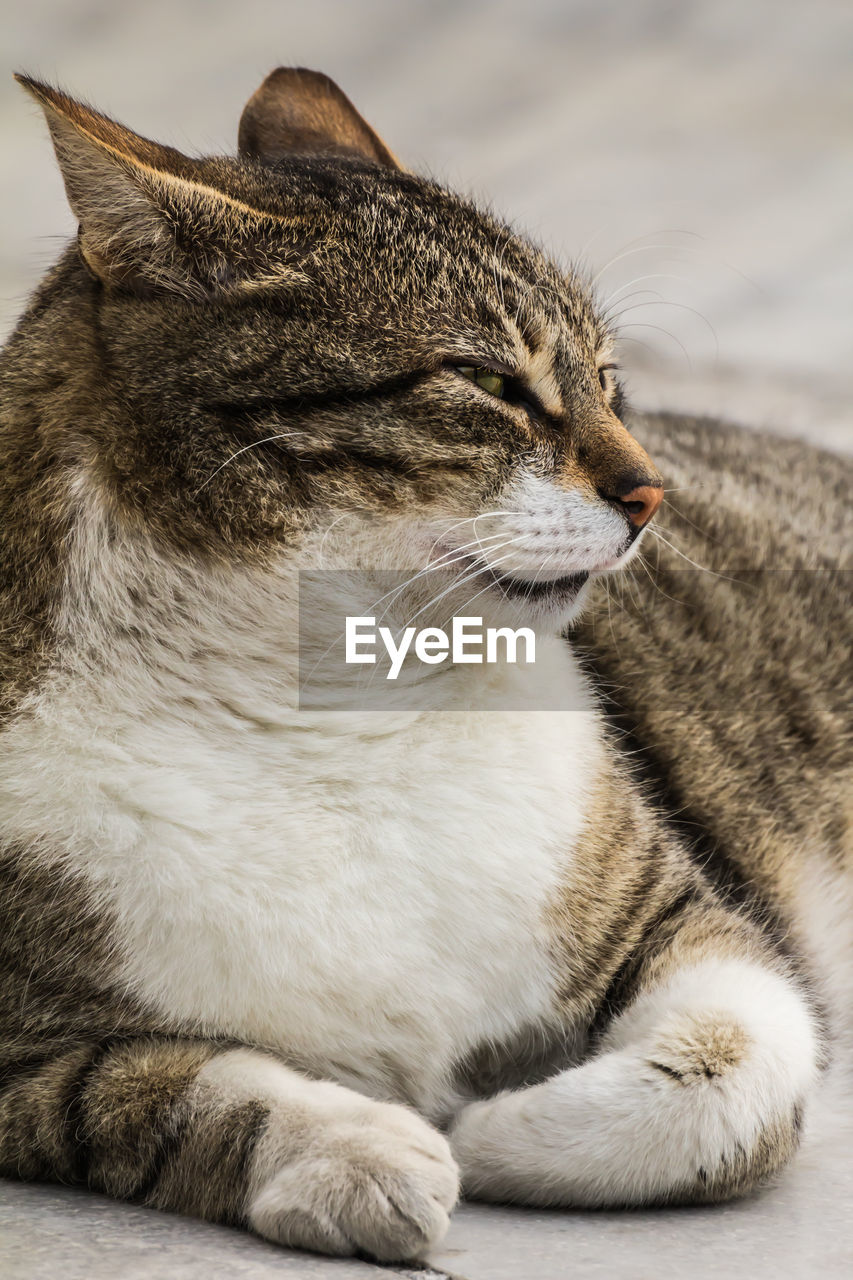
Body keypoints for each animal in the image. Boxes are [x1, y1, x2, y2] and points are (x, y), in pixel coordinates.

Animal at [0, 67, 845, 1259]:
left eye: (608, 379)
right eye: (488, 381)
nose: (652, 494)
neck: (345, 706)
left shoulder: (686, 918)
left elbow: (743, 1060)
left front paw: (498, 1130)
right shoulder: (25, 1054)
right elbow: (160, 1094)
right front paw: (359, 1150)